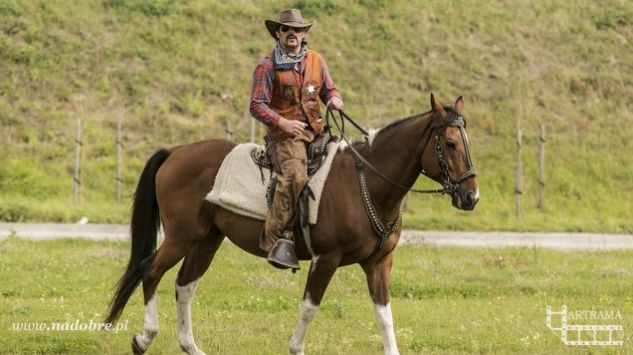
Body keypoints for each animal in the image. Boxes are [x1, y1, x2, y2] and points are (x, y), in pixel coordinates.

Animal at [105, 94, 478, 355]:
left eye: (467, 143)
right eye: (449, 144)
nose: (471, 196)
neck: (367, 183)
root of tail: (176, 152)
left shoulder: (379, 263)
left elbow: (384, 316)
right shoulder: (325, 259)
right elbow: (310, 308)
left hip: (207, 239)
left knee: (184, 285)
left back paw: (190, 346)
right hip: (182, 237)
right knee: (150, 270)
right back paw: (144, 338)